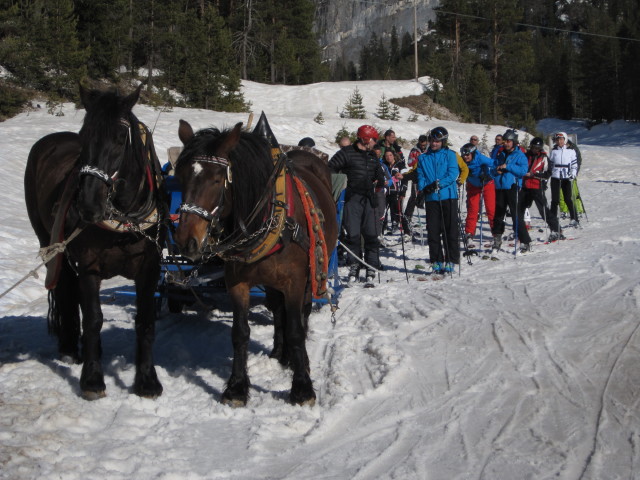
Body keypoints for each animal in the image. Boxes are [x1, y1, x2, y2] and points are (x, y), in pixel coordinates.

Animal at [24, 83, 166, 402]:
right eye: (84, 135)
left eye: (120, 138)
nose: (88, 205)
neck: (123, 221)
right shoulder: (89, 266)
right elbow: (93, 319)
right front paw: (91, 379)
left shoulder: (149, 268)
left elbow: (145, 321)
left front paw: (147, 380)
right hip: (50, 242)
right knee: (65, 288)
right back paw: (69, 347)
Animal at [172, 120, 338, 404]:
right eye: (180, 177)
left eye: (217, 179)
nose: (186, 242)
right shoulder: (237, 283)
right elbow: (240, 332)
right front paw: (236, 387)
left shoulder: (295, 281)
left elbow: (296, 330)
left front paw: (302, 387)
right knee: (278, 310)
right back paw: (280, 352)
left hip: (312, 272)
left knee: (301, 314)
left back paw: (298, 360)